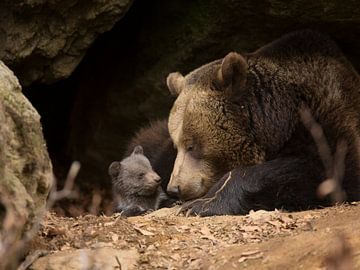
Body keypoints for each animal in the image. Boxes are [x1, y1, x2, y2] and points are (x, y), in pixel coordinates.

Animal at [166, 29, 360, 215]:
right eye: (176, 146)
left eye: (191, 146)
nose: (174, 188)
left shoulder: (326, 116)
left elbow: (327, 171)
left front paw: (201, 204)